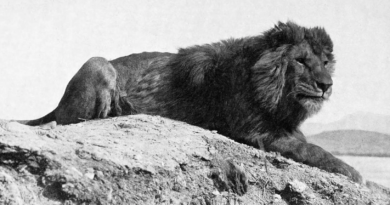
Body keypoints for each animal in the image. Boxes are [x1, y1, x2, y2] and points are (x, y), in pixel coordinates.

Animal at [18, 22, 362, 183]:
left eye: (326, 62)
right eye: (302, 61)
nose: (327, 86)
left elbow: (309, 144)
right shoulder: (255, 132)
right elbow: (313, 150)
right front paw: (353, 172)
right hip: (98, 64)